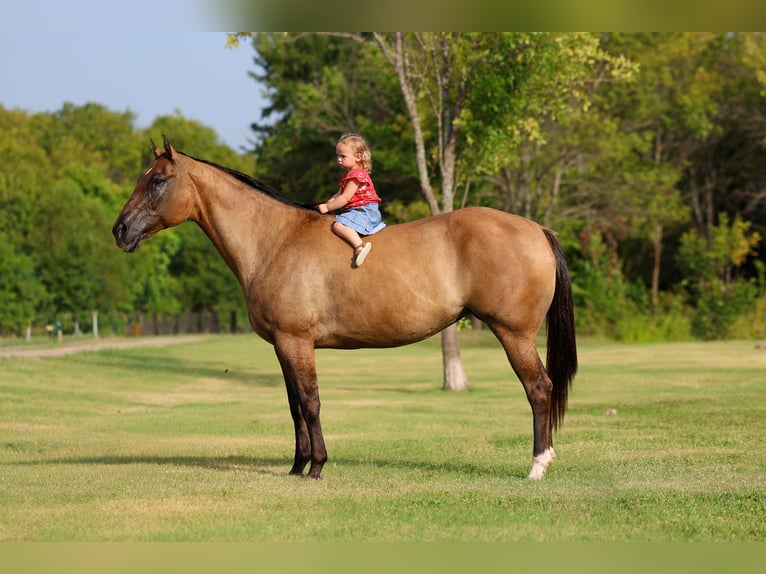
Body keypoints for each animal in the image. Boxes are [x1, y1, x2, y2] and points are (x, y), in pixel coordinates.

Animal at [112, 136, 578, 480]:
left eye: (157, 181)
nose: (120, 229)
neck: (273, 239)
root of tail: (537, 229)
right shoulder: (282, 345)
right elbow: (294, 405)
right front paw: (296, 466)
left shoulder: (297, 341)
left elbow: (311, 401)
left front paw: (316, 467)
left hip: (514, 334)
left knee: (539, 389)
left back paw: (537, 466)